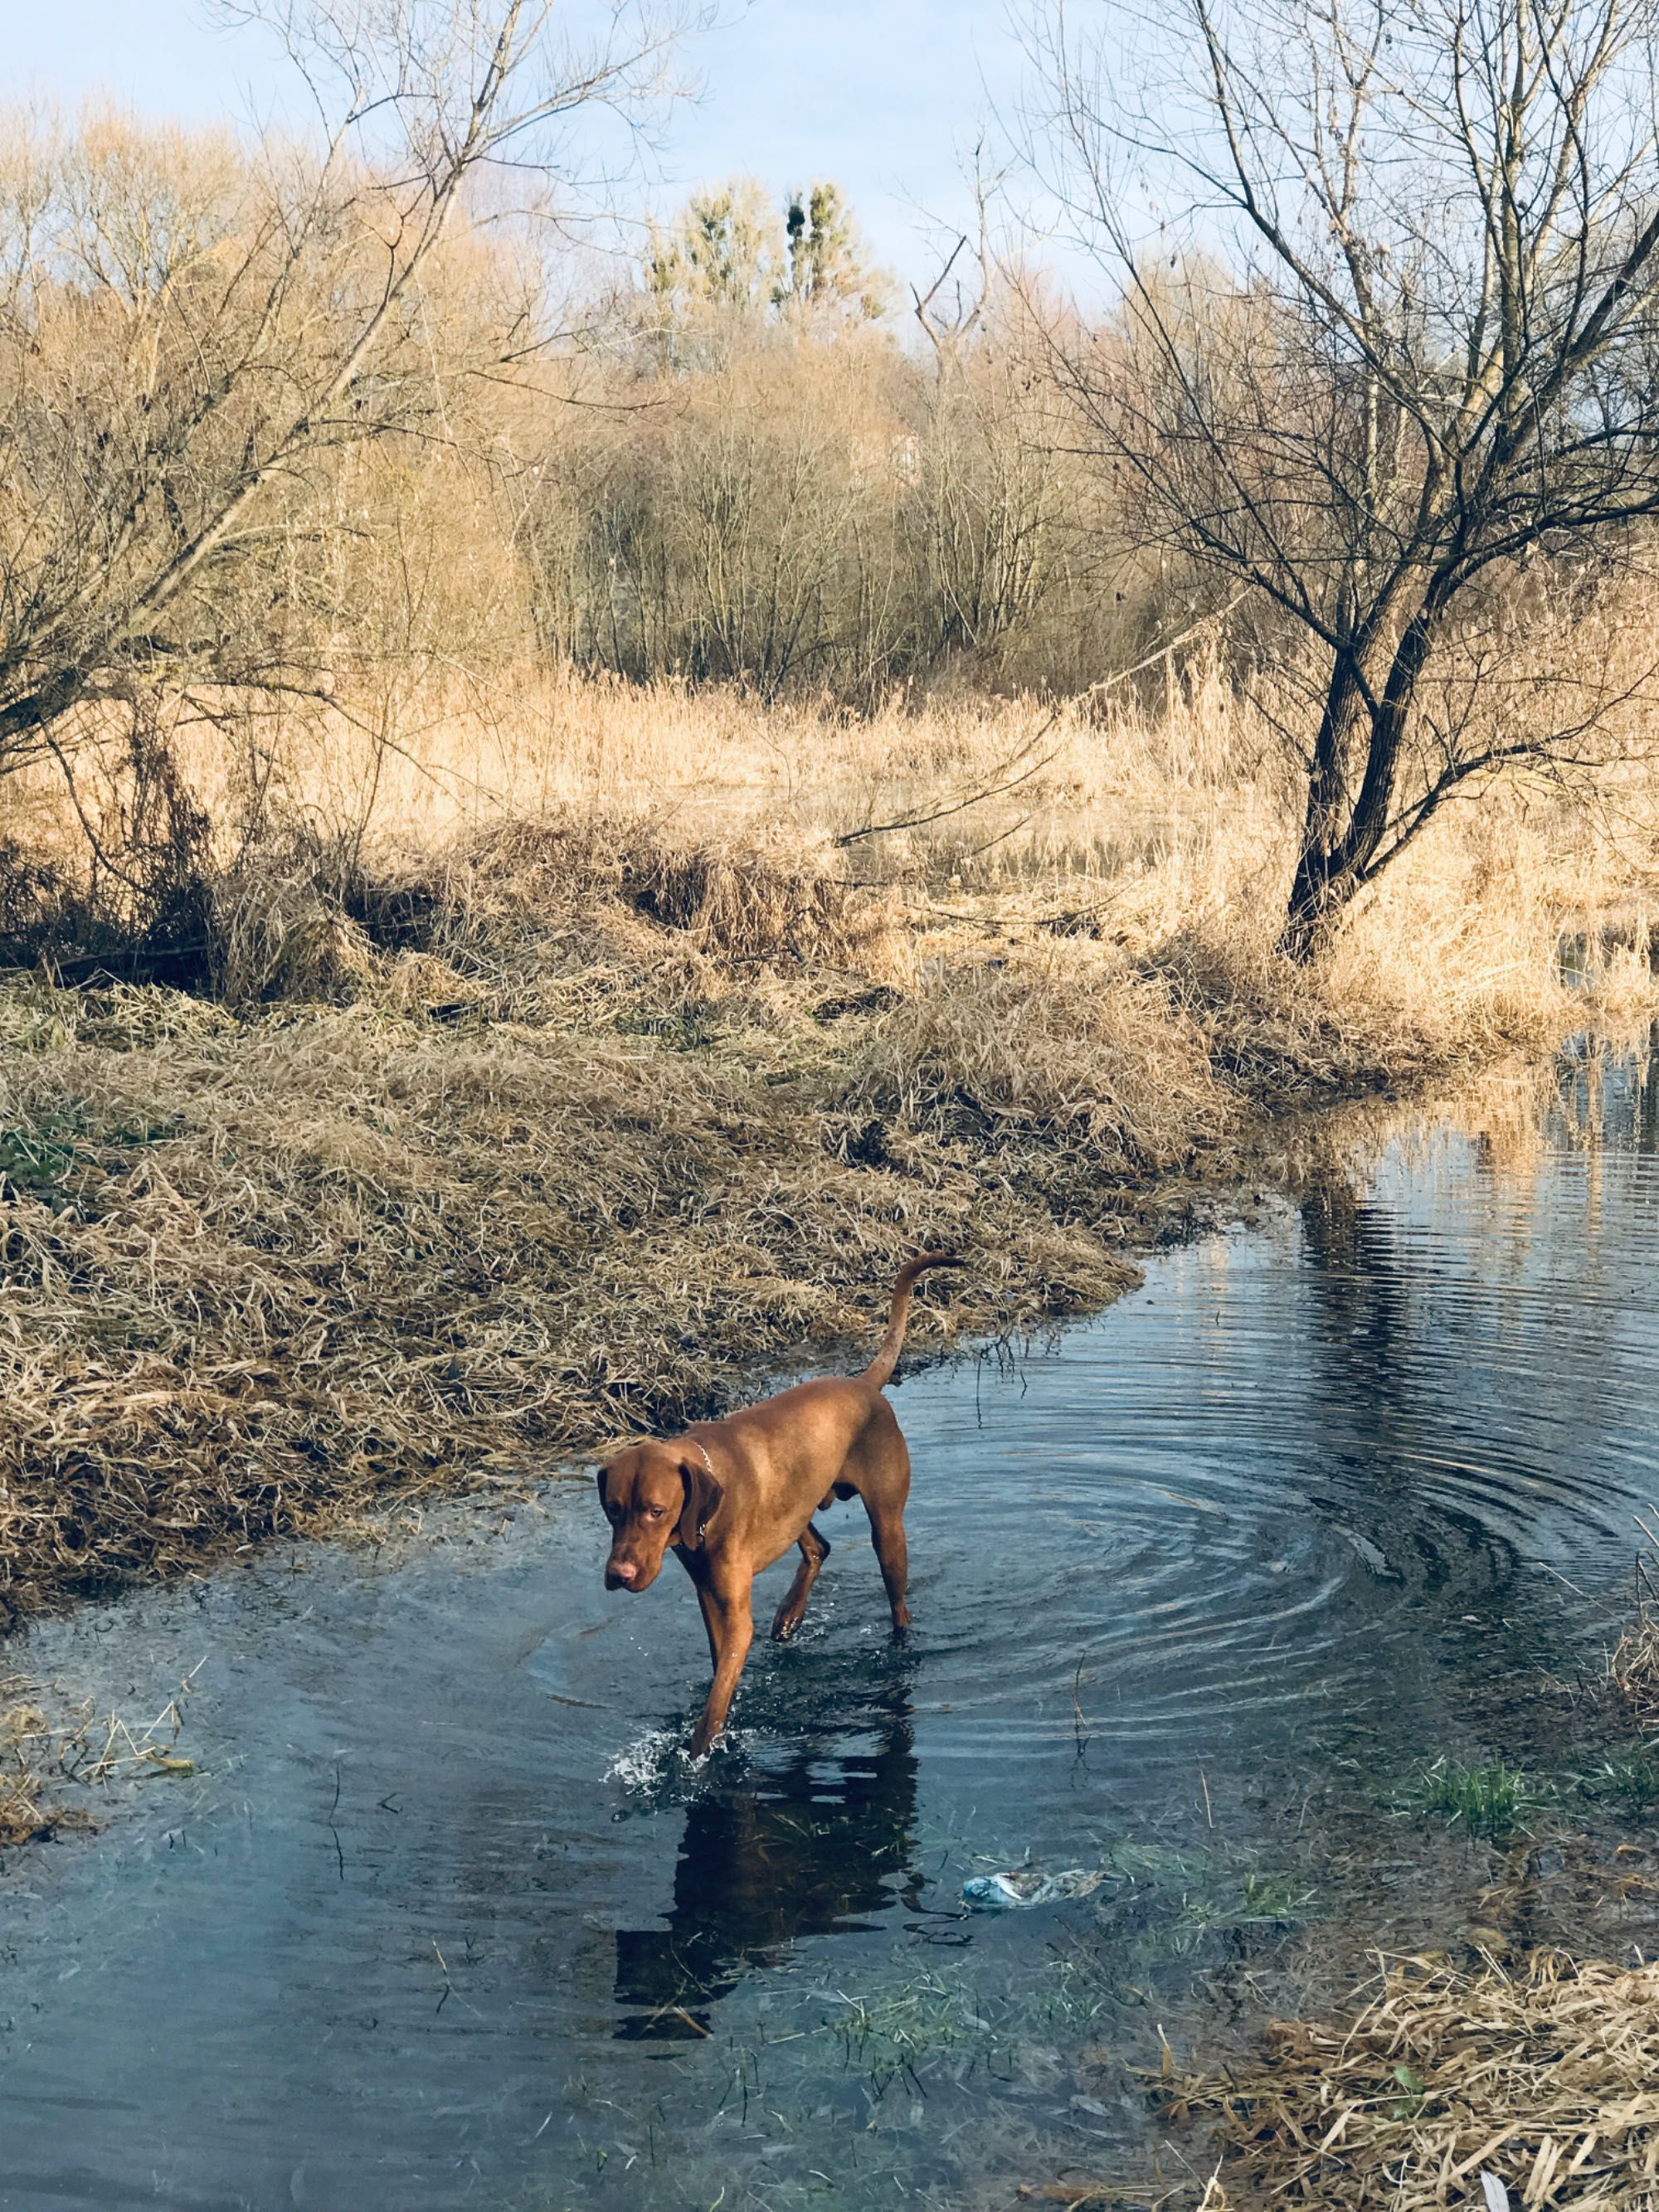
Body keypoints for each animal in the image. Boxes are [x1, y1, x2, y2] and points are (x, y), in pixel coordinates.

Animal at [597, 1256, 960, 1752]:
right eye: (613, 1509)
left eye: (656, 1511)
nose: (619, 1575)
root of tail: (864, 1384)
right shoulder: (710, 1598)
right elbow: (721, 1673)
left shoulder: (736, 1618)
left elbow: (714, 1705)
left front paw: (699, 1753)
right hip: (798, 1502)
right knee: (818, 1547)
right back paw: (790, 1615)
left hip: (888, 1532)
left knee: (898, 1603)